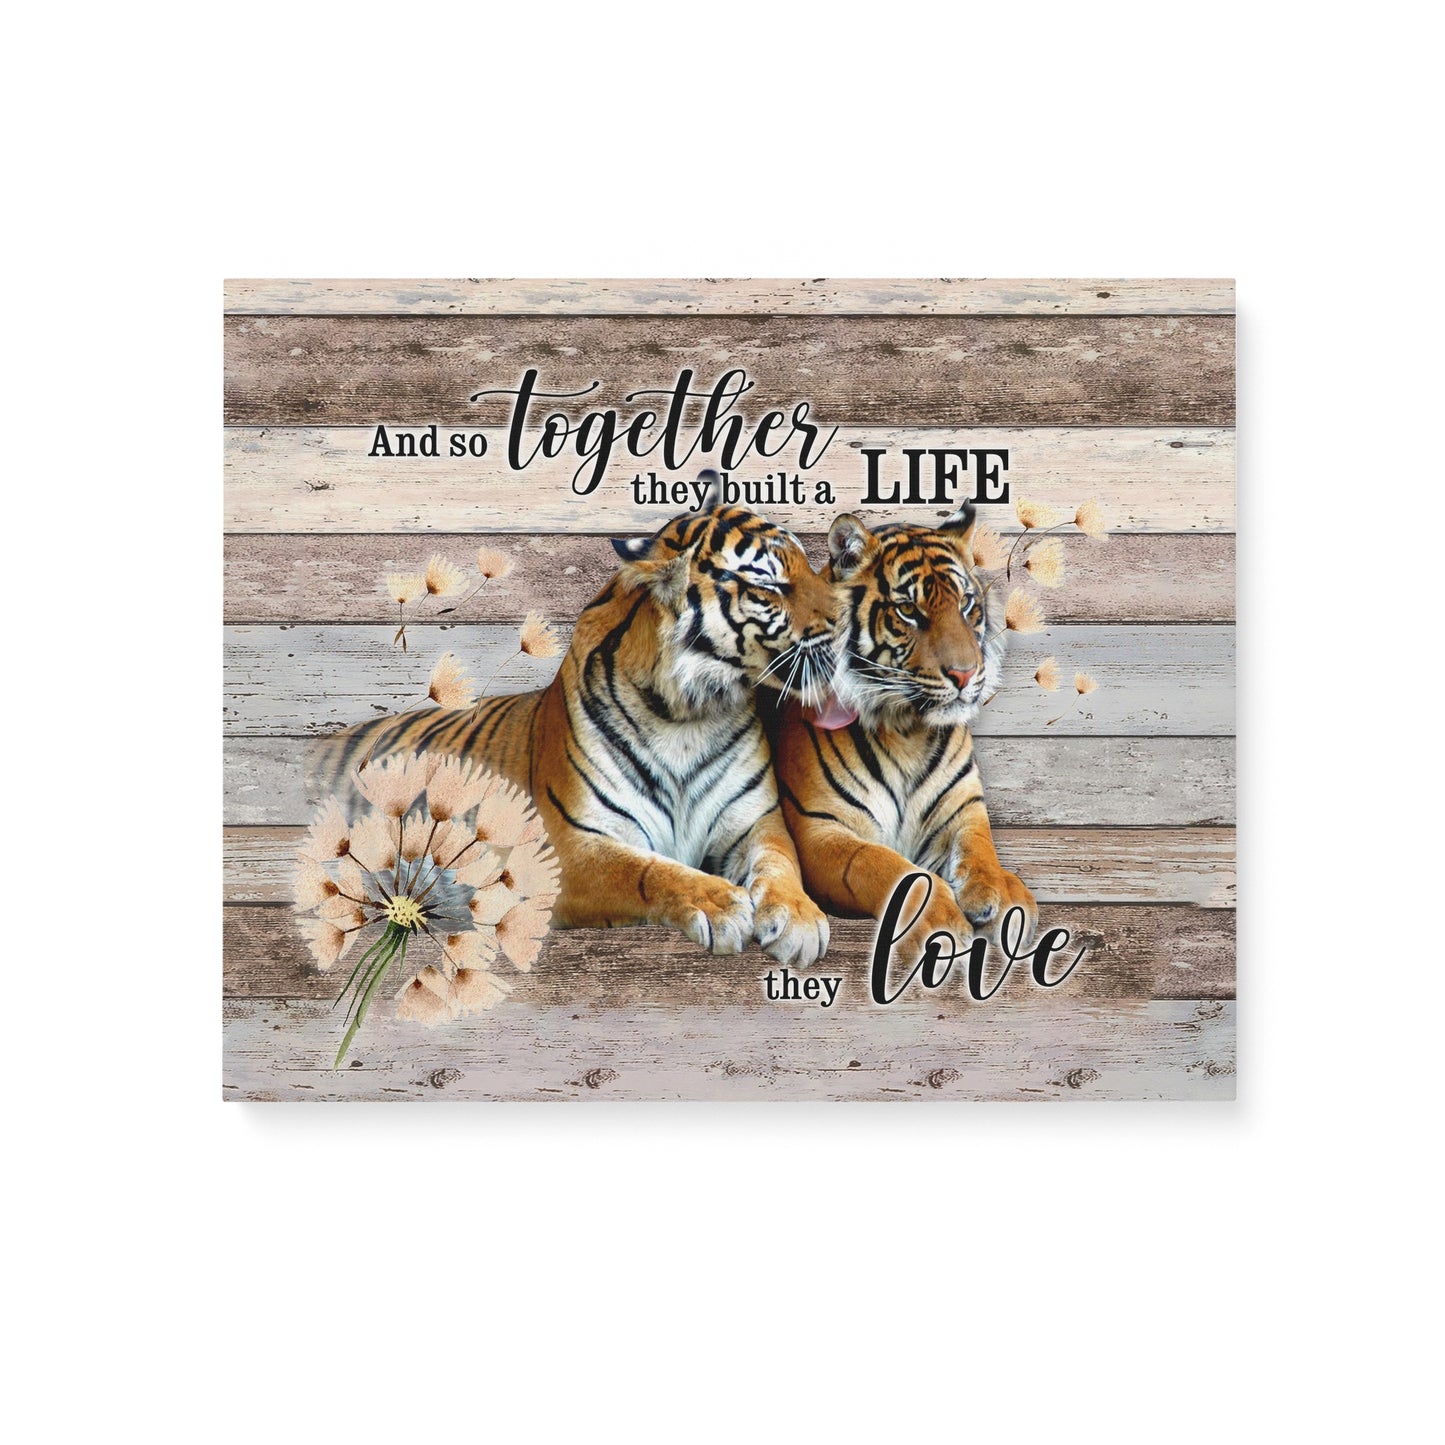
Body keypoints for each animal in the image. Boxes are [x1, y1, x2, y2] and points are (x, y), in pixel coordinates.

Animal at [311, 492, 835, 964]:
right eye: (769, 588)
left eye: (809, 566)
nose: (844, 620)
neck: (690, 716)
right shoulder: (569, 849)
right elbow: (646, 871)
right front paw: (720, 904)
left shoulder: (757, 823)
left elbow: (781, 865)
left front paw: (800, 918)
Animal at [773, 502, 1037, 958]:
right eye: (908, 611)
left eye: (966, 604)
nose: (965, 674)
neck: (908, 732)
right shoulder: (819, 831)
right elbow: (887, 867)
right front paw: (944, 918)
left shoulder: (964, 806)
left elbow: (981, 846)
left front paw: (1000, 893)